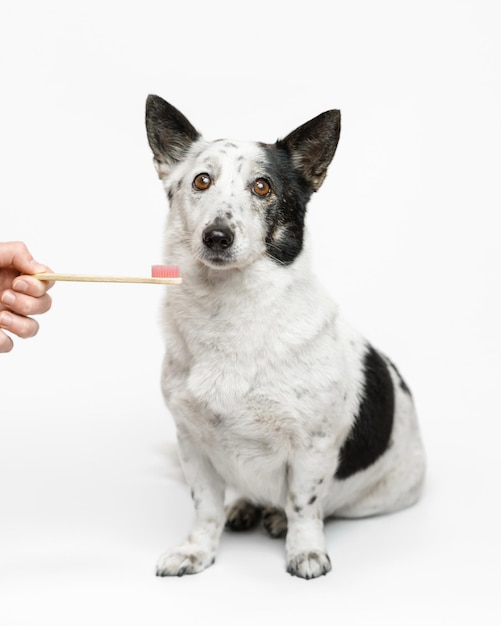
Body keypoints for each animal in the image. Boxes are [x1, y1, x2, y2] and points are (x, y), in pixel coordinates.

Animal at [145, 94, 426, 580]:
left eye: (262, 187)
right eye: (201, 181)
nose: (217, 236)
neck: (229, 311)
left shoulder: (313, 448)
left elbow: (303, 505)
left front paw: (305, 551)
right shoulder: (192, 444)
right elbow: (205, 509)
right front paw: (197, 551)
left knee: (325, 506)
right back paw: (245, 507)